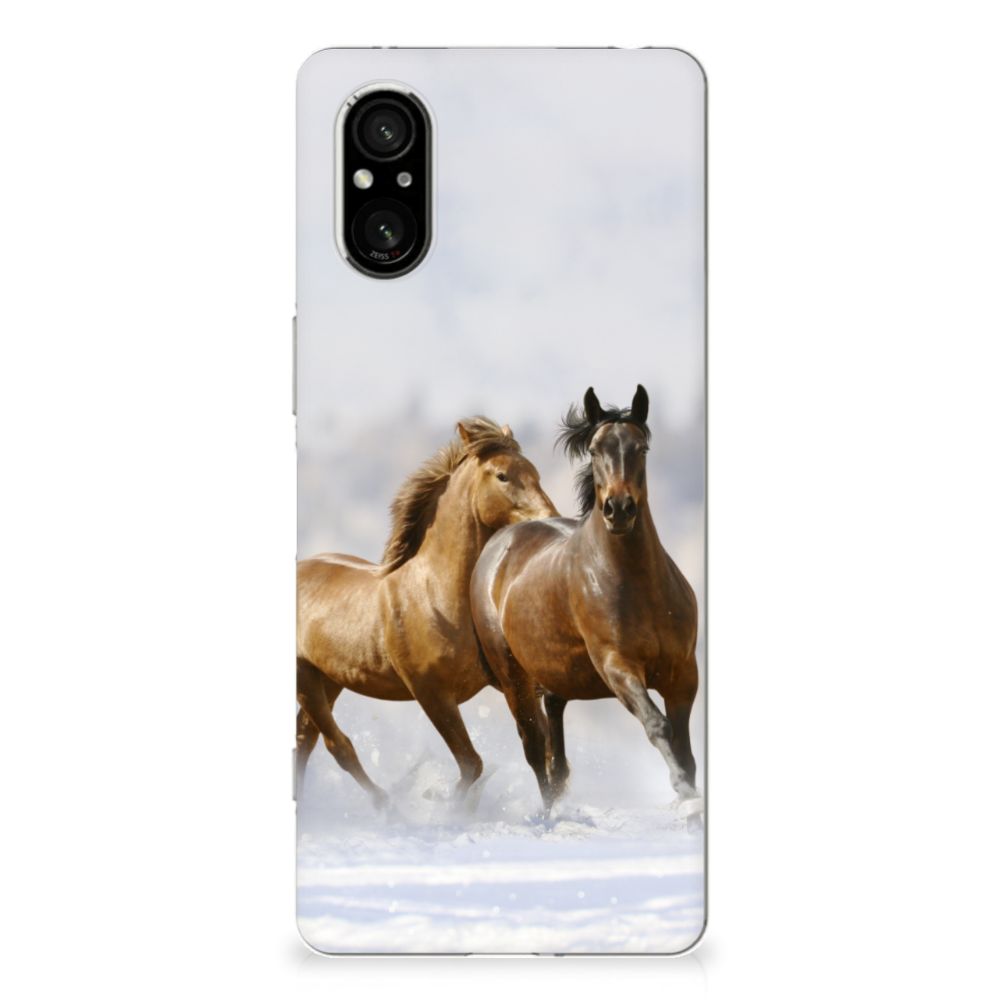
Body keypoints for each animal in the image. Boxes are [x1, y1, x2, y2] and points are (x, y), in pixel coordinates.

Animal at [296, 417, 558, 810]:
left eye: (535, 472)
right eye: (502, 476)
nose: (550, 519)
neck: (436, 595)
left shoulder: (511, 682)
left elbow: (537, 745)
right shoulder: (431, 693)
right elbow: (472, 764)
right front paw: (445, 806)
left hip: (329, 679)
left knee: (305, 741)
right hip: (306, 679)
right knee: (336, 745)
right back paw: (387, 805)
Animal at [470, 386, 702, 819]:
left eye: (641, 447)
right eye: (594, 450)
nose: (619, 509)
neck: (639, 586)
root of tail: (499, 542)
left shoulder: (683, 673)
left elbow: (684, 745)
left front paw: (691, 797)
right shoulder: (617, 666)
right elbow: (658, 725)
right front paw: (683, 792)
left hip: (555, 675)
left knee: (555, 746)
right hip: (514, 679)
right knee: (535, 748)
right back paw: (548, 815)